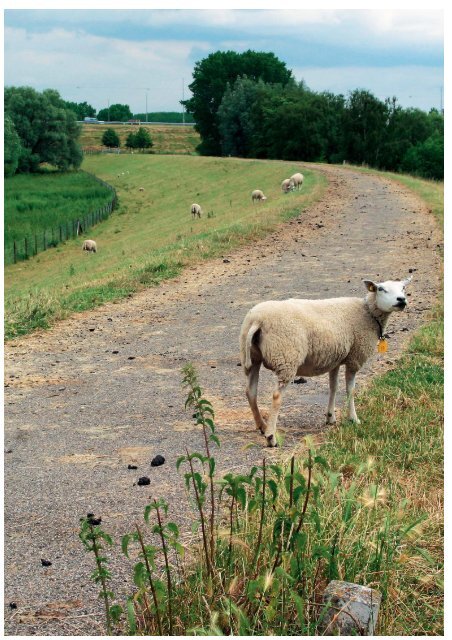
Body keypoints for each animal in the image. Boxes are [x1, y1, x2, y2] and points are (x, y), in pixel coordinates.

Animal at [240, 278, 414, 448]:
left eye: (403, 288)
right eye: (381, 289)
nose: (401, 300)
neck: (367, 313)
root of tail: (257, 320)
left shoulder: (335, 359)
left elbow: (333, 387)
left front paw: (330, 417)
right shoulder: (354, 358)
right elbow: (350, 390)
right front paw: (353, 419)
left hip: (252, 358)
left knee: (251, 392)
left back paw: (262, 426)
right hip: (287, 358)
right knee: (276, 396)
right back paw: (271, 437)